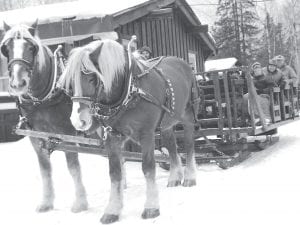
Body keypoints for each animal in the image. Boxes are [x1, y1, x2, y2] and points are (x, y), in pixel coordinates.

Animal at [0, 22, 88, 213]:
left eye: (31, 48)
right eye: (6, 48)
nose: (18, 83)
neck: (40, 100)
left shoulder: (67, 133)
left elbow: (73, 166)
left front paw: (80, 202)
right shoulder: (36, 136)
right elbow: (45, 169)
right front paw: (46, 202)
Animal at [59, 39, 199, 223]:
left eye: (91, 78)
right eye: (69, 84)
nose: (78, 121)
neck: (130, 91)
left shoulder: (147, 134)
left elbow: (148, 168)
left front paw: (151, 207)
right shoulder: (112, 136)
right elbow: (114, 172)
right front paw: (112, 210)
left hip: (188, 115)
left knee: (189, 144)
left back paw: (189, 177)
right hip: (167, 123)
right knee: (172, 146)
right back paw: (175, 177)